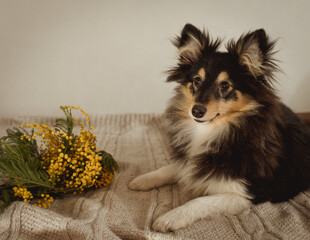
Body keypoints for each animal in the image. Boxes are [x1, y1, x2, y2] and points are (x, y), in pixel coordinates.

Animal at [128, 24, 310, 232]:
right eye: (197, 80)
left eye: (225, 85)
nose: (196, 111)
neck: (212, 130)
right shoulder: (192, 161)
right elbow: (172, 167)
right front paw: (142, 180)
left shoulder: (249, 194)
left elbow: (199, 202)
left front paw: (168, 219)